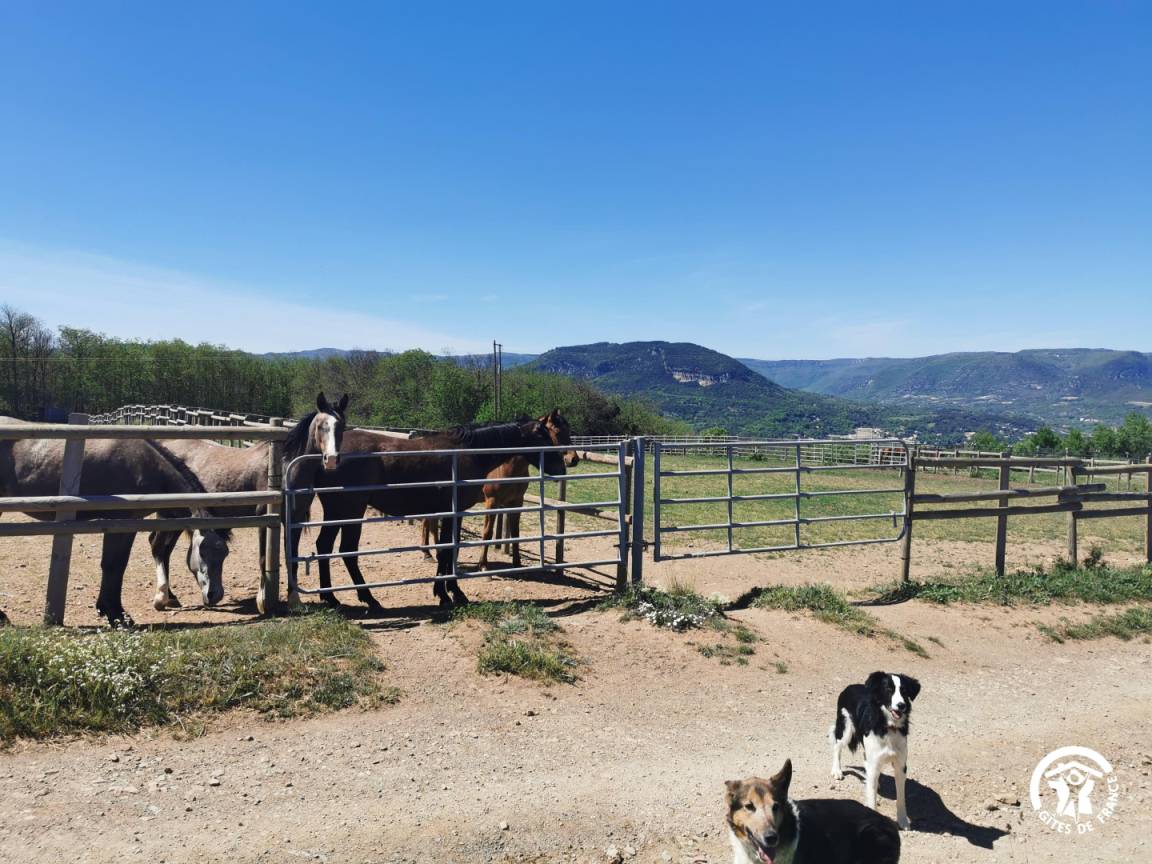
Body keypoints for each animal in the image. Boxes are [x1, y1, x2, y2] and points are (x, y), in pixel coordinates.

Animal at [0, 418, 232, 626]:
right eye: (202, 551)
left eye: (224, 553)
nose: (215, 594)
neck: (143, 464)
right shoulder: (120, 523)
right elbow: (113, 565)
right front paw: (117, 615)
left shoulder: (128, 524)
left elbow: (117, 565)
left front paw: (109, 609)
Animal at [155, 393, 347, 612]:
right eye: (321, 426)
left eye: (342, 426)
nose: (331, 459)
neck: (285, 467)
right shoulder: (265, 519)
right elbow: (264, 559)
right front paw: (262, 601)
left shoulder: (294, 520)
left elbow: (292, 557)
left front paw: (294, 600)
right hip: (170, 516)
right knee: (158, 547)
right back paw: (163, 597)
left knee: (164, 550)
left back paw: (171, 597)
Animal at [294, 410, 578, 610]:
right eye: (546, 435)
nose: (564, 465)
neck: (469, 452)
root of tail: (327, 456)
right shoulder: (454, 511)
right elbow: (447, 550)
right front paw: (451, 593)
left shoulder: (450, 512)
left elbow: (446, 549)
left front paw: (446, 592)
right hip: (349, 510)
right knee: (344, 551)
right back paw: (362, 598)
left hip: (340, 512)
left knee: (326, 547)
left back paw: (334, 598)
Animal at [830, 671, 921, 830]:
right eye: (889, 690)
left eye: (904, 691)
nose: (901, 705)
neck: (888, 726)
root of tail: (850, 686)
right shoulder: (873, 762)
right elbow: (872, 797)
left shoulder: (900, 765)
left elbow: (901, 798)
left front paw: (903, 821)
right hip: (846, 728)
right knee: (837, 745)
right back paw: (837, 770)